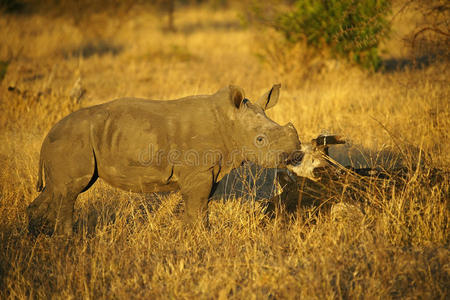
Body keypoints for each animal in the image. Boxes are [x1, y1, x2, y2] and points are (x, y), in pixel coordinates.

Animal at [29, 84, 302, 234]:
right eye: (260, 140)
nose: (296, 155)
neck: (230, 121)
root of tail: (47, 135)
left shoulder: (209, 170)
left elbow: (200, 205)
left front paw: (192, 235)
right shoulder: (199, 171)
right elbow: (197, 205)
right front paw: (200, 237)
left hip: (68, 141)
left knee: (57, 189)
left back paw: (38, 235)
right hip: (73, 140)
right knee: (71, 191)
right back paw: (66, 239)